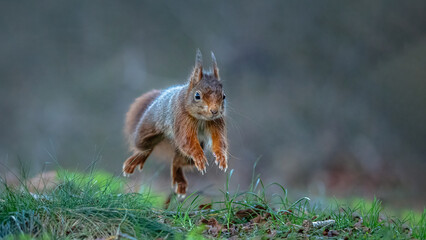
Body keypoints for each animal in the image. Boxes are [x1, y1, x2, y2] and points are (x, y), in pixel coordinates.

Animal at [123, 49, 228, 196]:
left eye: (223, 96)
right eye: (197, 96)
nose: (214, 111)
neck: (202, 118)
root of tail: (161, 94)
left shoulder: (216, 122)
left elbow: (219, 140)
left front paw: (221, 157)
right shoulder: (181, 118)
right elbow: (187, 140)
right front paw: (199, 157)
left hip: (188, 156)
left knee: (177, 162)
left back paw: (179, 181)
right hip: (146, 131)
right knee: (145, 148)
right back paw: (135, 161)